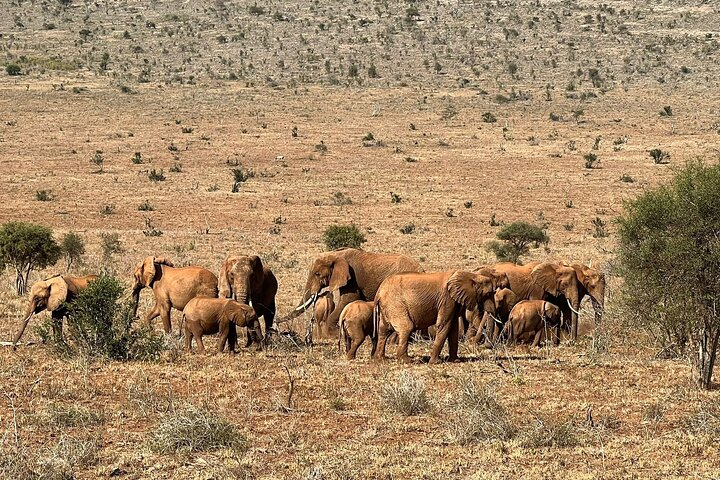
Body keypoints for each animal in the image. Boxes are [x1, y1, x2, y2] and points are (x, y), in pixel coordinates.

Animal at [290, 247, 423, 332]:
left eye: (317, 274)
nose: (322, 293)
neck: (336, 255)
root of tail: (421, 269)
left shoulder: (351, 278)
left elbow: (348, 300)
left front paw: (330, 335)